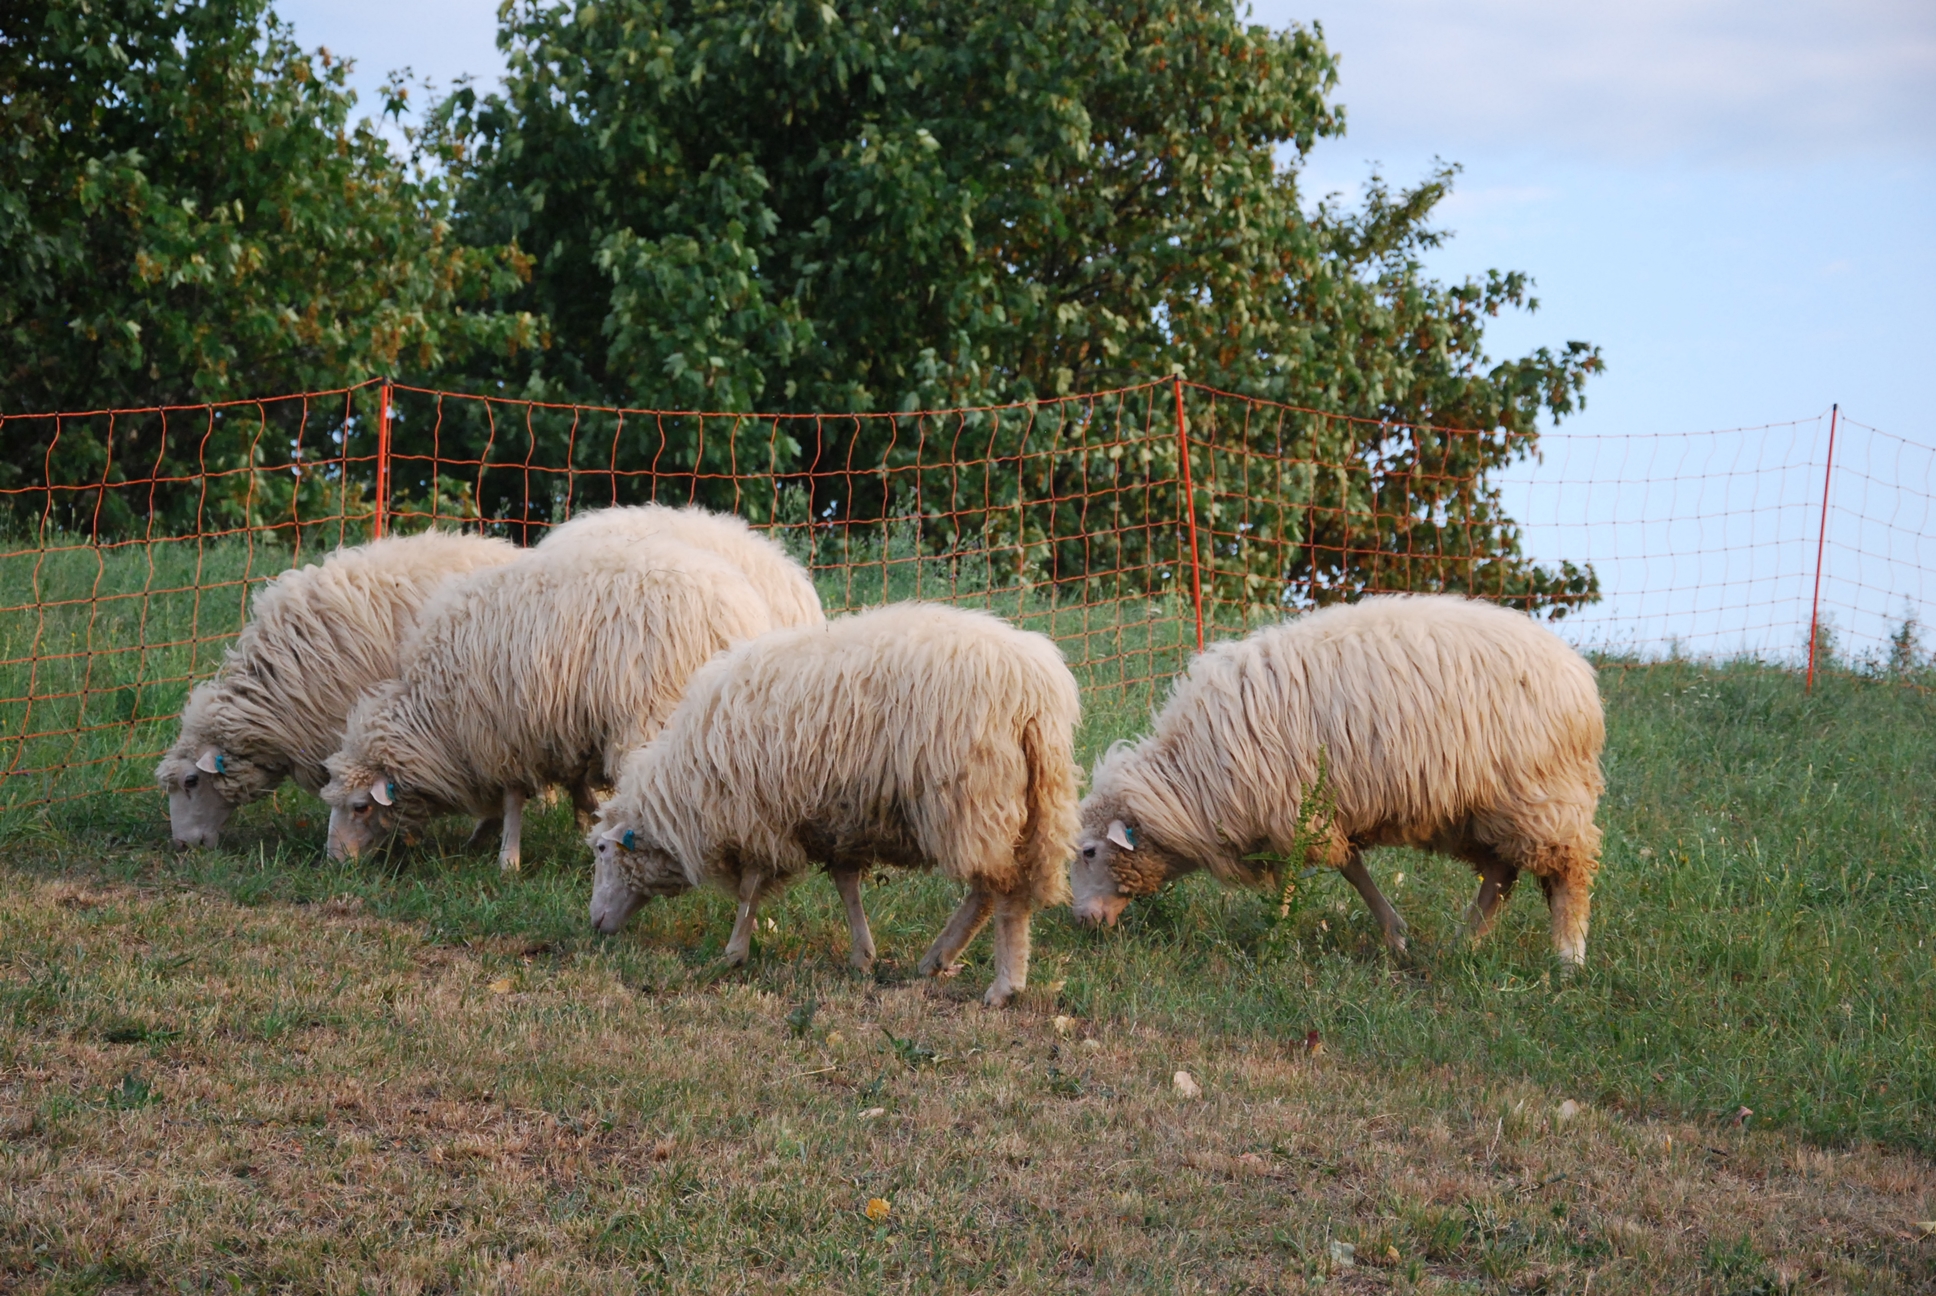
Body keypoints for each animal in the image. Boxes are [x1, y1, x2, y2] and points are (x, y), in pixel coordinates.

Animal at [320, 537, 781, 871]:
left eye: (360, 807)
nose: (334, 862)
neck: (437, 713)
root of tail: (738, 612)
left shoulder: (501, 732)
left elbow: (511, 800)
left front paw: (507, 858)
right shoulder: (555, 728)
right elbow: (572, 785)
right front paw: (581, 821)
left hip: (652, 715)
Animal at [585, 603, 1083, 1007]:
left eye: (602, 850)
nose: (594, 924)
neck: (686, 784)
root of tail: (1037, 691)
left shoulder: (759, 815)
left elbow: (750, 888)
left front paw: (733, 953)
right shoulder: (839, 817)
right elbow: (847, 885)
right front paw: (863, 954)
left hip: (974, 798)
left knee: (1003, 891)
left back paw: (1003, 985)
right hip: (1020, 802)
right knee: (990, 889)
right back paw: (939, 959)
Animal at [1068, 595, 1605, 965]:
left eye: (1090, 851)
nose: (1081, 921)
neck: (1192, 781)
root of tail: (1578, 675)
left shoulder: (1289, 807)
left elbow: (1298, 878)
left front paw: (1274, 940)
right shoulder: (1318, 809)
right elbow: (1350, 867)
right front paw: (1395, 934)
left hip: (1542, 793)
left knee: (1569, 870)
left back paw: (1569, 959)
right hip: (1482, 809)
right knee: (1500, 874)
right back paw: (1463, 944)